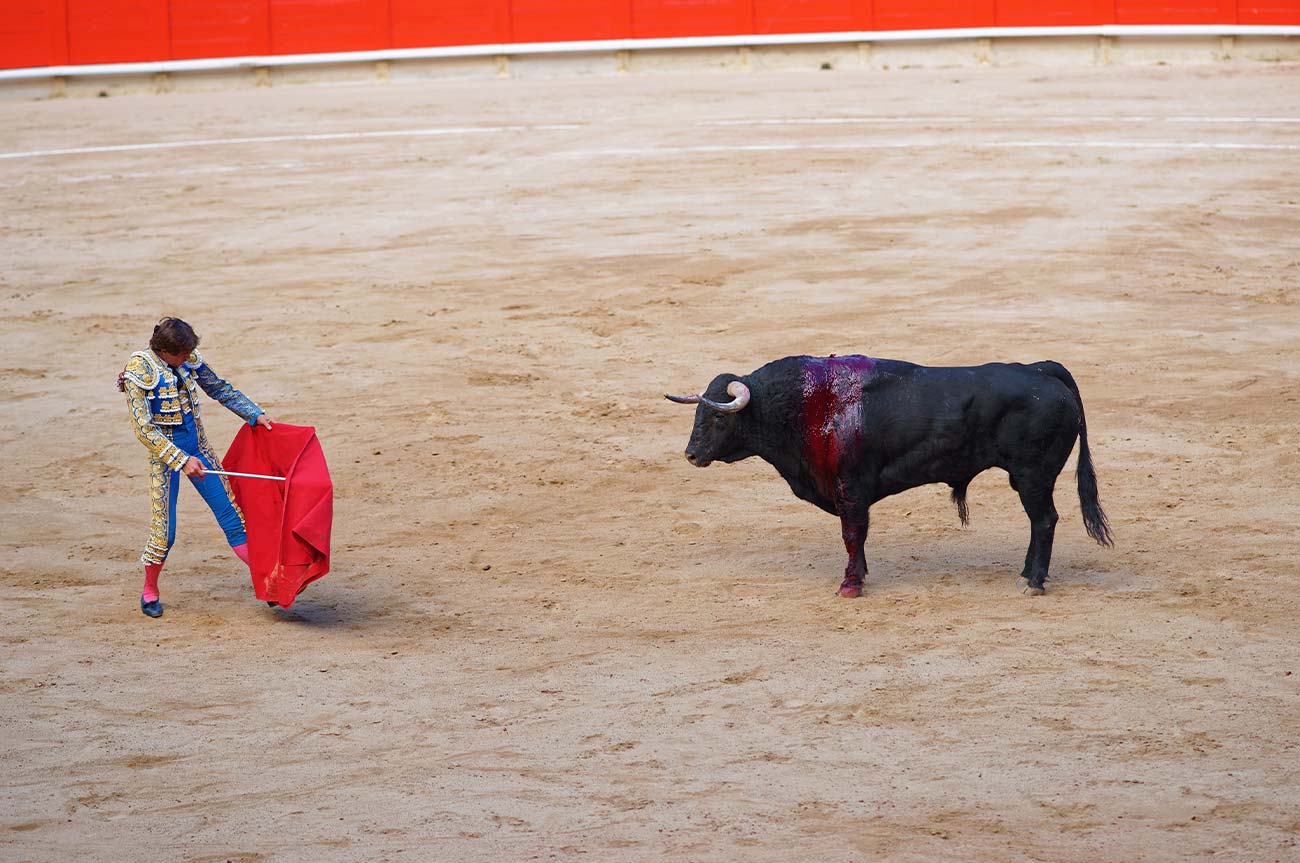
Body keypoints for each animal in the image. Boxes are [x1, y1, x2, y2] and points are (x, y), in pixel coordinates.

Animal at [665, 353, 1112, 597]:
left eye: (718, 419)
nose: (691, 455)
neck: (804, 405)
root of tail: (1040, 370)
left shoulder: (850, 489)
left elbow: (852, 534)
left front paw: (850, 585)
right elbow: (857, 539)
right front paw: (859, 575)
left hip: (1033, 474)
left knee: (1045, 519)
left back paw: (1034, 581)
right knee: (1039, 522)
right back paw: (1025, 574)